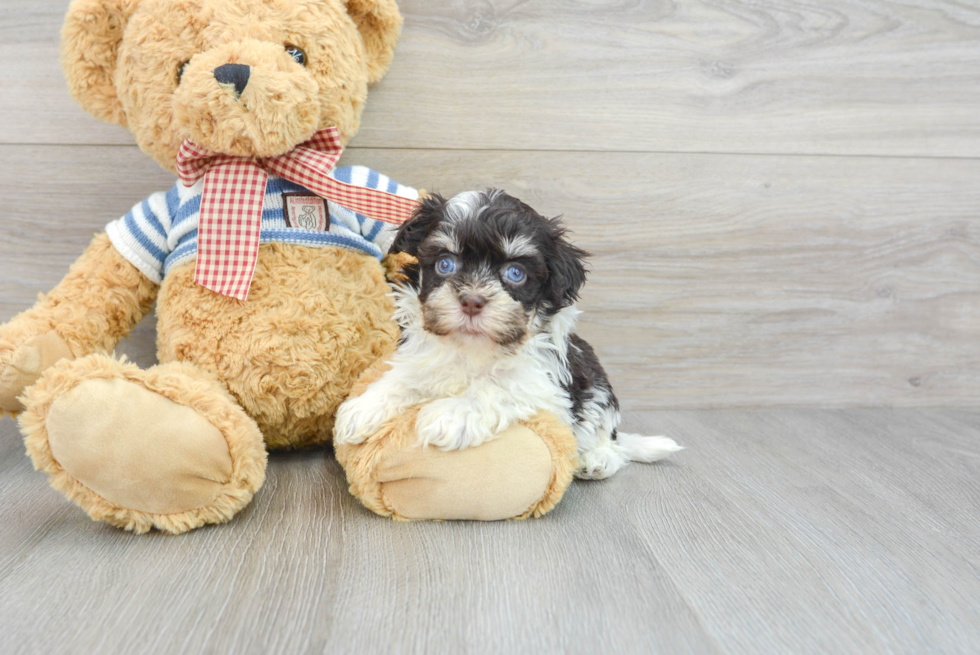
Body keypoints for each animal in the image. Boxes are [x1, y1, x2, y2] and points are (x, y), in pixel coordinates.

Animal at [332, 187, 680, 480]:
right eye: (445, 264)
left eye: (515, 273)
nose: (472, 301)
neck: (475, 348)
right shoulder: (425, 357)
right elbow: (407, 378)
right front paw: (365, 408)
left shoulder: (547, 385)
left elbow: (499, 386)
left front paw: (450, 415)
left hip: (597, 389)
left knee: (607, 436)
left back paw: (598, 460)